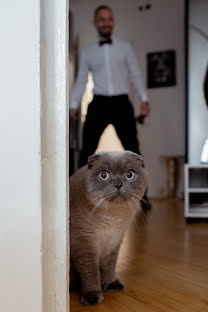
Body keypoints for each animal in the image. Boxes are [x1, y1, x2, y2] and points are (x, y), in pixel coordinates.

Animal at [70, 151, 148, 304]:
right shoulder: (84, 243)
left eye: (129, 174)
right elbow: (90, 271)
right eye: (104, 175)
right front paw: (92, 296)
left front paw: (110, 284)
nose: (118, 185)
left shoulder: (114, 241)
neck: (112, 217)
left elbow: (109, 266)